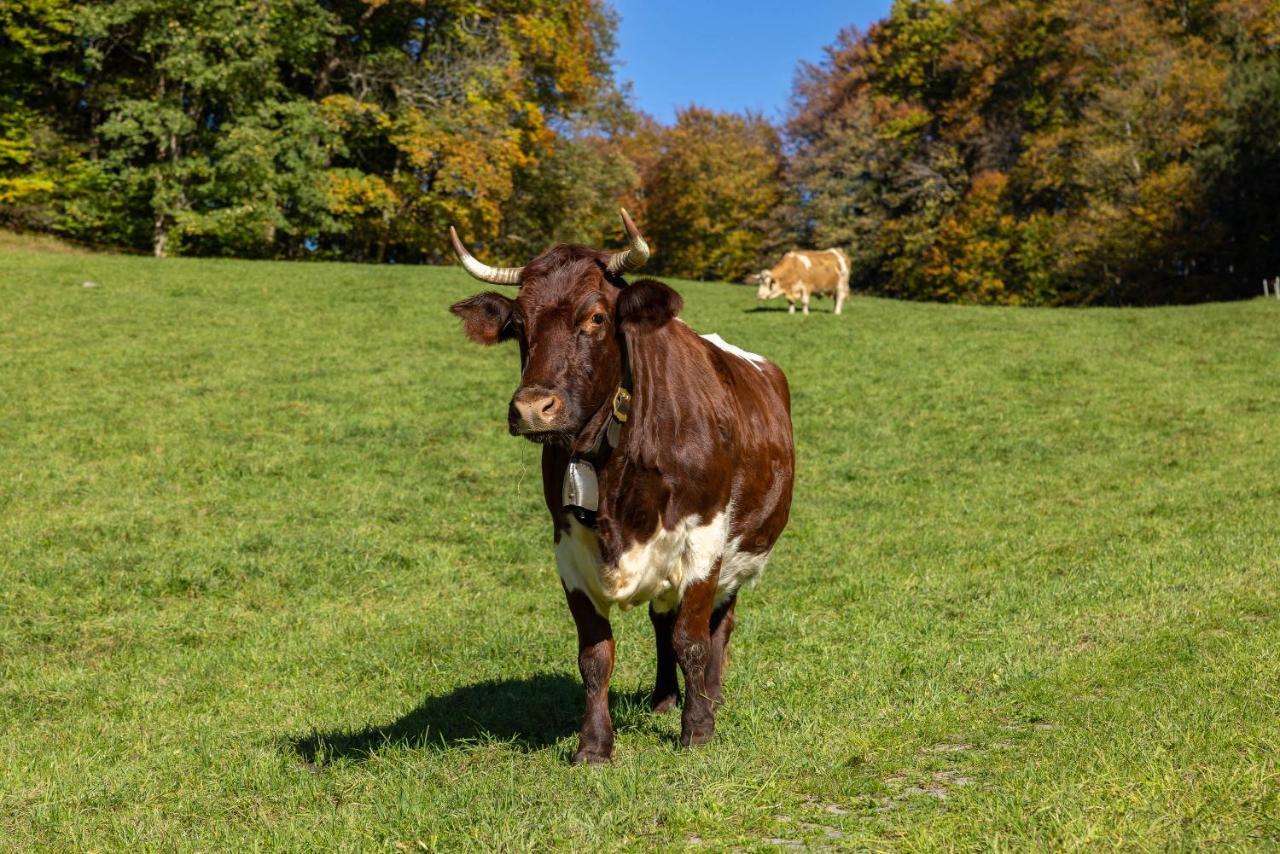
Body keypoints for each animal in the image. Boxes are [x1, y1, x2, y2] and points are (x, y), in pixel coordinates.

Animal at [445, 209, 793, 763]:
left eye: (596, 317)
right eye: (518, 325)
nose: (531, 409)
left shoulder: (705, 538)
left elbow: (693, 640)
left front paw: (698, 731)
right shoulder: (568, 547)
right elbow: (596, 655)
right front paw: (594, 745)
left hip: (738, 555)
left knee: (719, 623)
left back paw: (710, 695)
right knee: (661, 623)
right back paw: (663, 699)